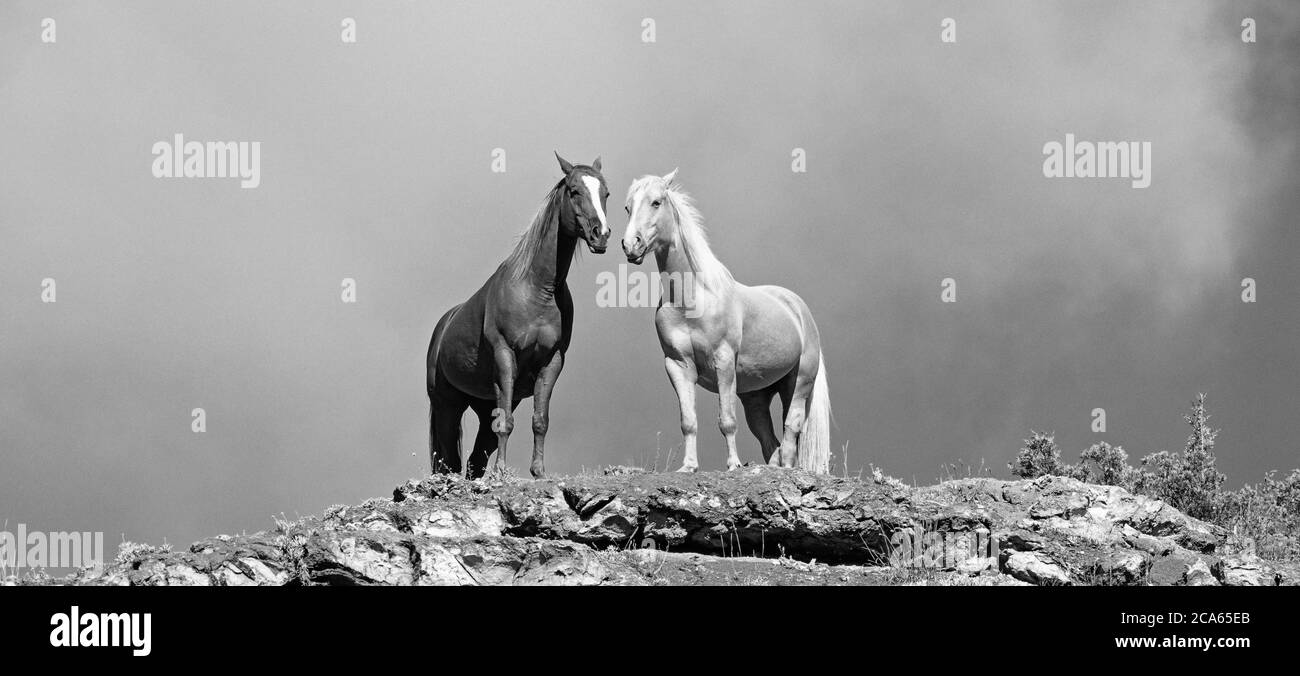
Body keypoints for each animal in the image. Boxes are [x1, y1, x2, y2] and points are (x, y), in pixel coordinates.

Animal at [426, 154, 608, 480]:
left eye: (606, 194)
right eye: (574, 190)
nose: (601, 235)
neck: (538, 289)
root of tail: (442, 327)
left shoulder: (553, 361)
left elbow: (540, 420)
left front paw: (539, 472)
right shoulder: (504, 355)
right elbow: (507, 422)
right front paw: (502, 472)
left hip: (483, 403)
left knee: (474, 460)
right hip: (447, 404)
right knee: (448, 459)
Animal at [621, 171, 826, 473]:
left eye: (656, 202)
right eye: (628, 207)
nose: (630, 245)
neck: (691, 300)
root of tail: (799, 309)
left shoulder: (724, 360)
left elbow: (727, 421)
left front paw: (733, 465)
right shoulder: (677, 365)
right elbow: (688, 421)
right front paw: (689, 467)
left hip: (798, 384)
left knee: (791, 431)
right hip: (756, 396)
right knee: (770, 441)